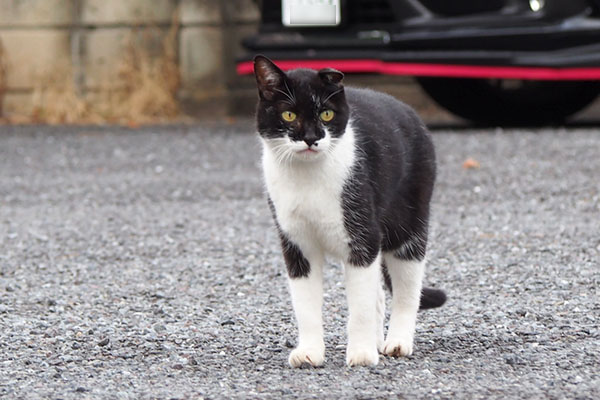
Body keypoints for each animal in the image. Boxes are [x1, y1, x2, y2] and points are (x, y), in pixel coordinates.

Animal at [253, 56, 446, 368]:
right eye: (289, 115)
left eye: (327, 114)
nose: (311, 138)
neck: (308, 179)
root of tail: (407, 109)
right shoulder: (296, 244)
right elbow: (305, 306)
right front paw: (309, 352)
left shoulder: (362, 236)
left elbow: (360, 307)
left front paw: (362, 354)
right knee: (379, 294)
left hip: (407, 222)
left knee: (407, 287)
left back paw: (397, 342)